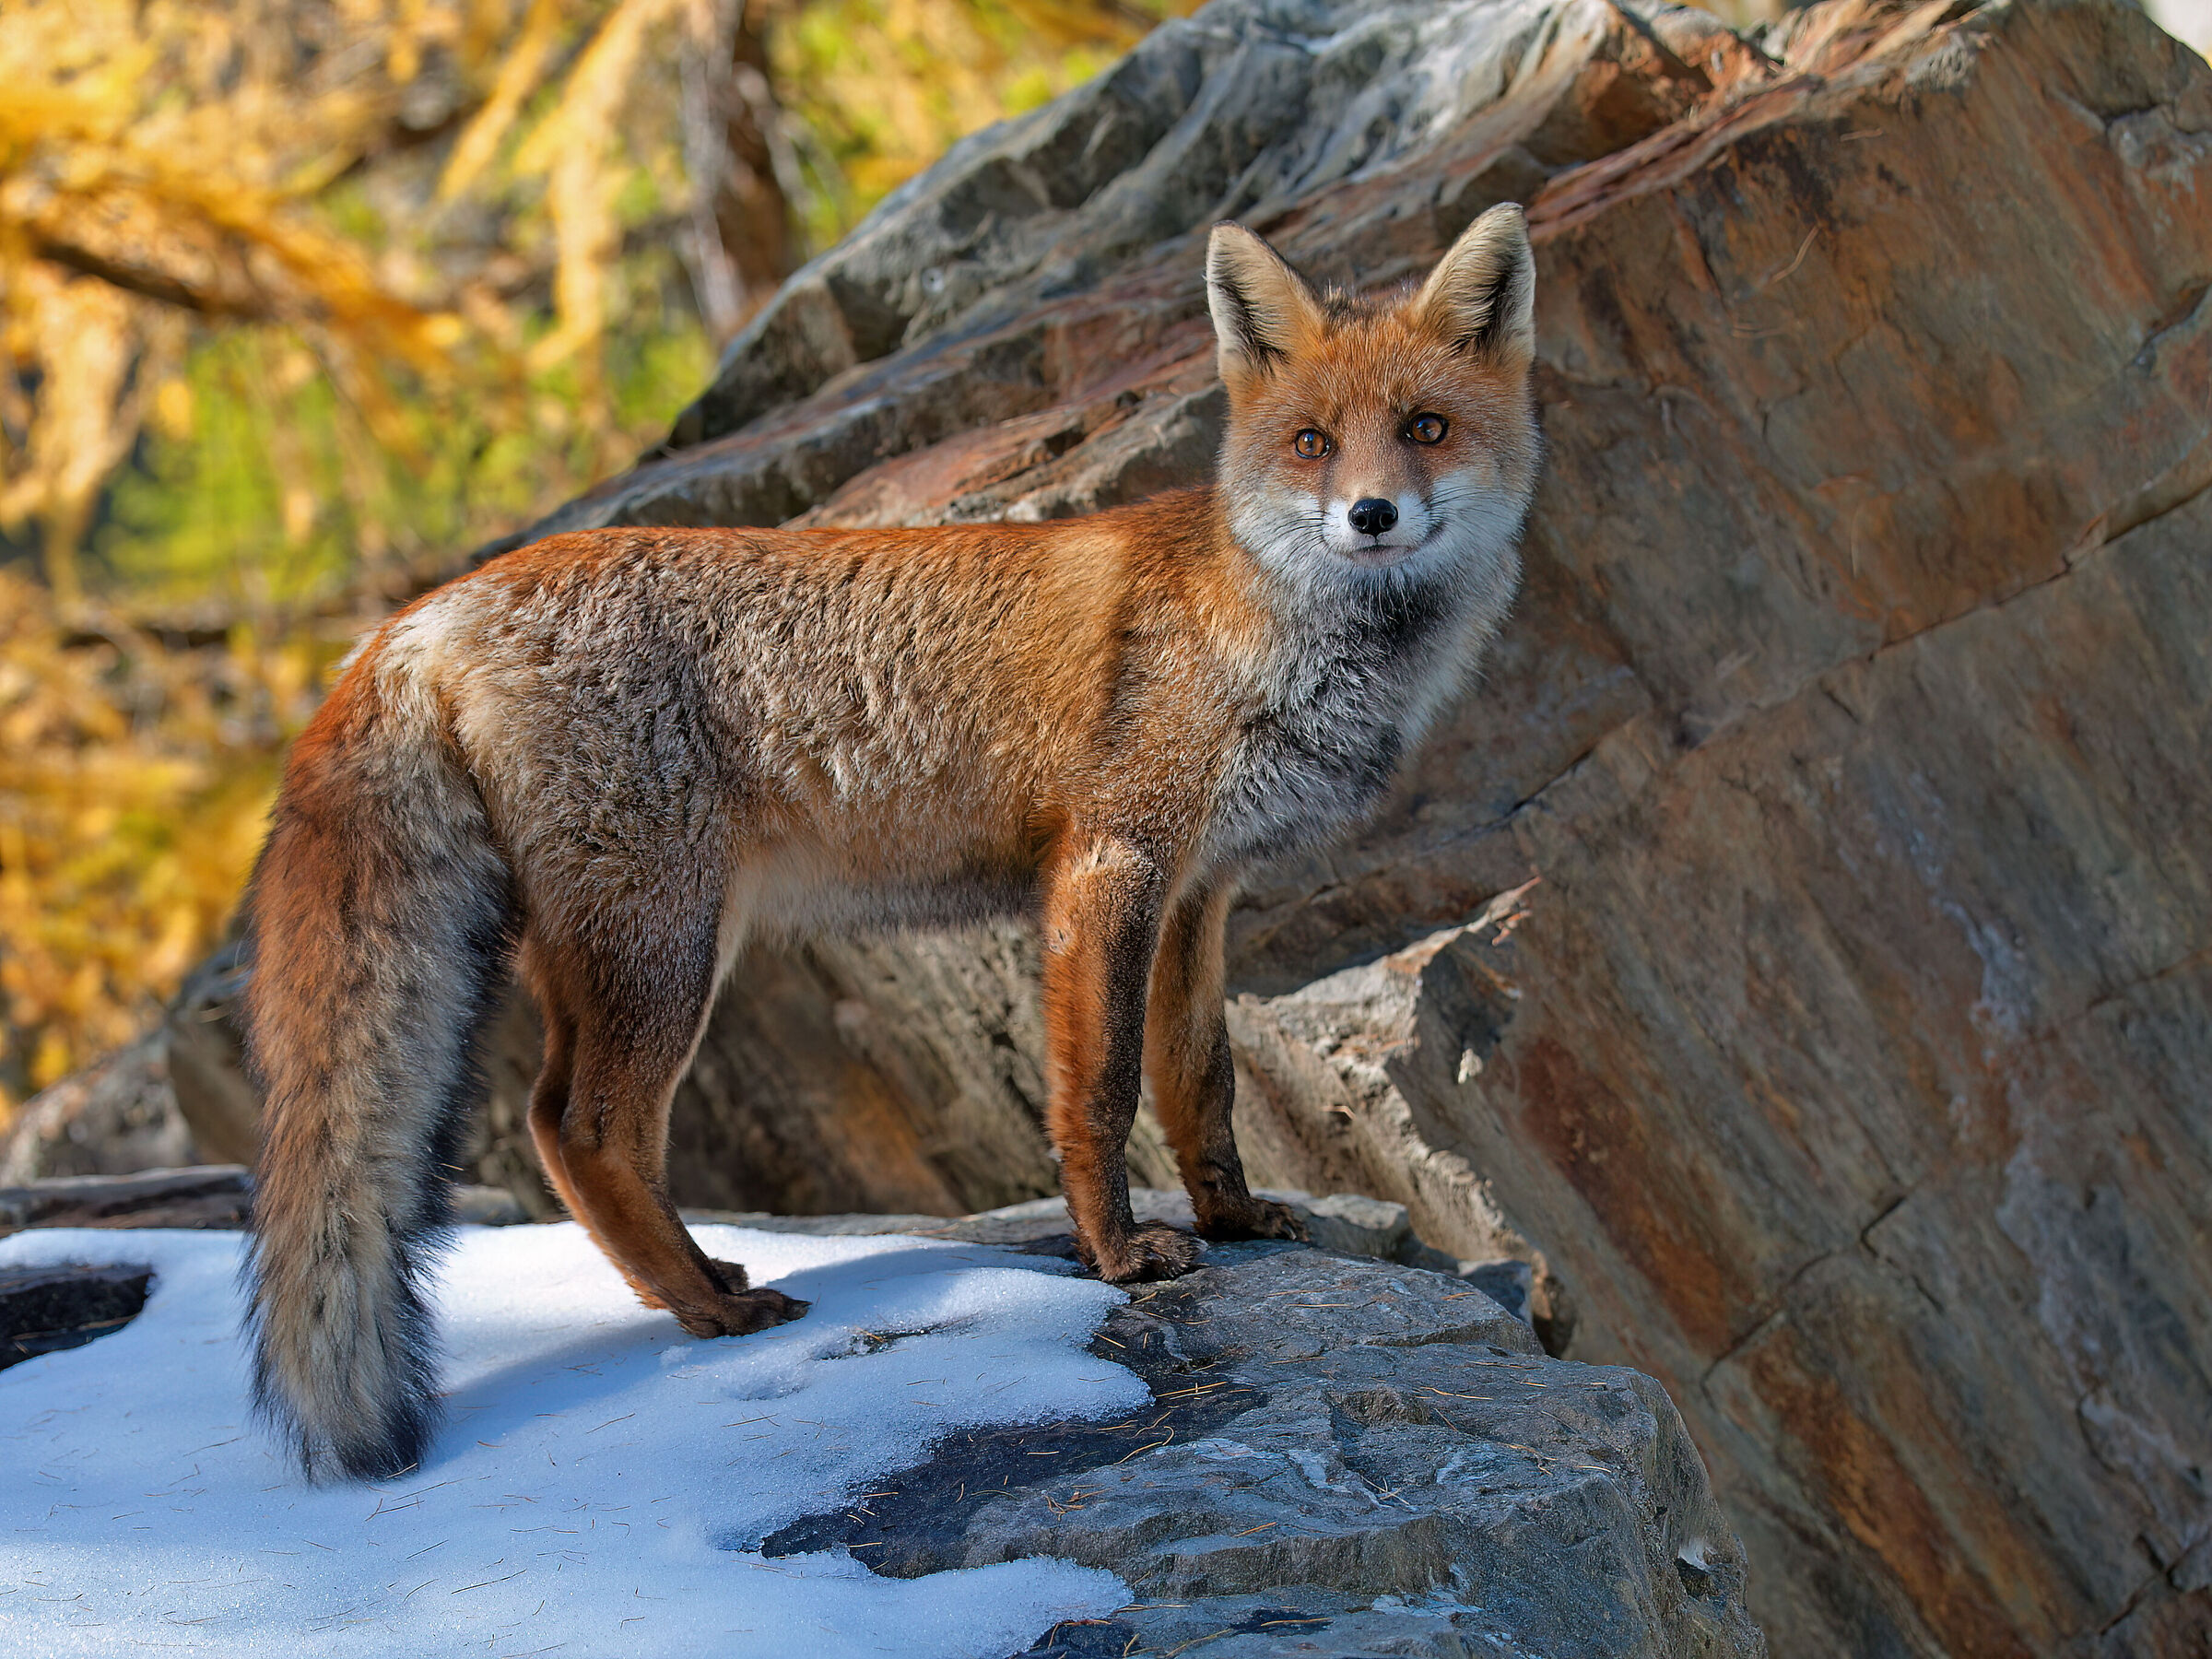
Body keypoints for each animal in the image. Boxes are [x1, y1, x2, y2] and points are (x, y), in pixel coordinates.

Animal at [241, 204, 1542, 1480]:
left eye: (1425, 429)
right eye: (1314, 442)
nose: (1371, 516)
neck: (1267, 629)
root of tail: (421, 614)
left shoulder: (1198, 888)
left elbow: (1198, 1083)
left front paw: (1232, 1221)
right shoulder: (1110, 864)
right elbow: (1103, 1090)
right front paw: (1119, 1257)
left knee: (574, 1128)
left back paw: (697, 1283)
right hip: (666, 944)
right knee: (579, 1126)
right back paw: (710, 1311)